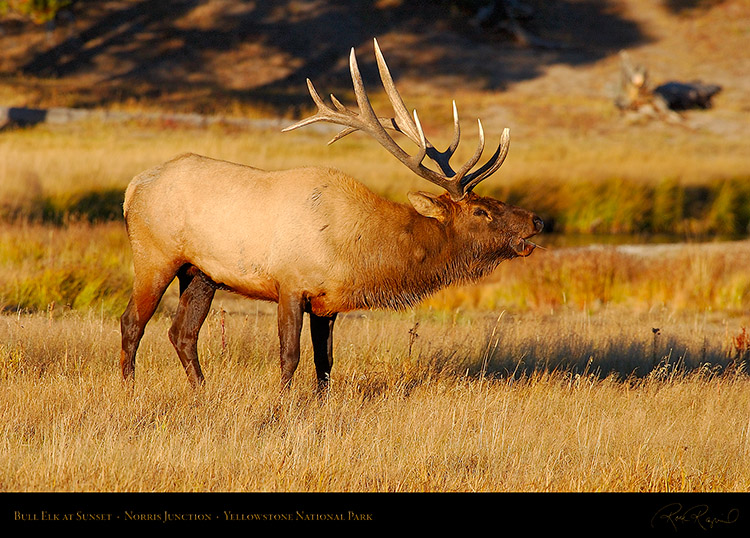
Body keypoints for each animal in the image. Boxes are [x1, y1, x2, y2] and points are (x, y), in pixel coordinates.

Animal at [122, 38, 548, 390]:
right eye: (481, 211)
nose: (537, 220)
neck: (357, 251)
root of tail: (132, 188)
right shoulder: (291, 283)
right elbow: (289, 356)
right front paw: (282, 405)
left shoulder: (328, 304)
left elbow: (324, 363)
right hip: (154, 256)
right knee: (133, 323)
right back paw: (130, 389)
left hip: (201, 273)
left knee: (182, 332)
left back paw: (202, 391)